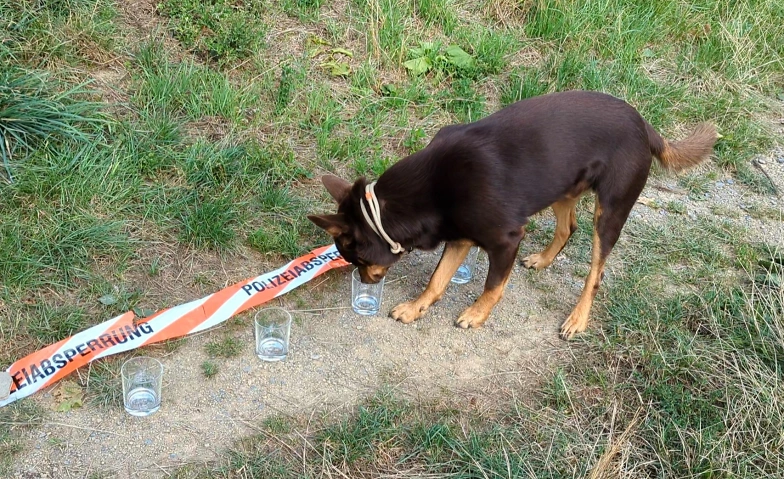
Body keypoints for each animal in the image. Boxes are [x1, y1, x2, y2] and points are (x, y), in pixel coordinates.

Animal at [306, 89, 716, 338]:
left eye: (356, 259)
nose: (365, 280)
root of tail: (645, 125)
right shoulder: (460, 237)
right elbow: (436, 280)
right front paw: (416, 308)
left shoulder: (505, 240)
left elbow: (493, 285)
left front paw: (477, 314)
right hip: (561, 186)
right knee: (568, 226)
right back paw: (544, 260)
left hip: (610, 211)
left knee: (595, 272)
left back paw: (578, 318)